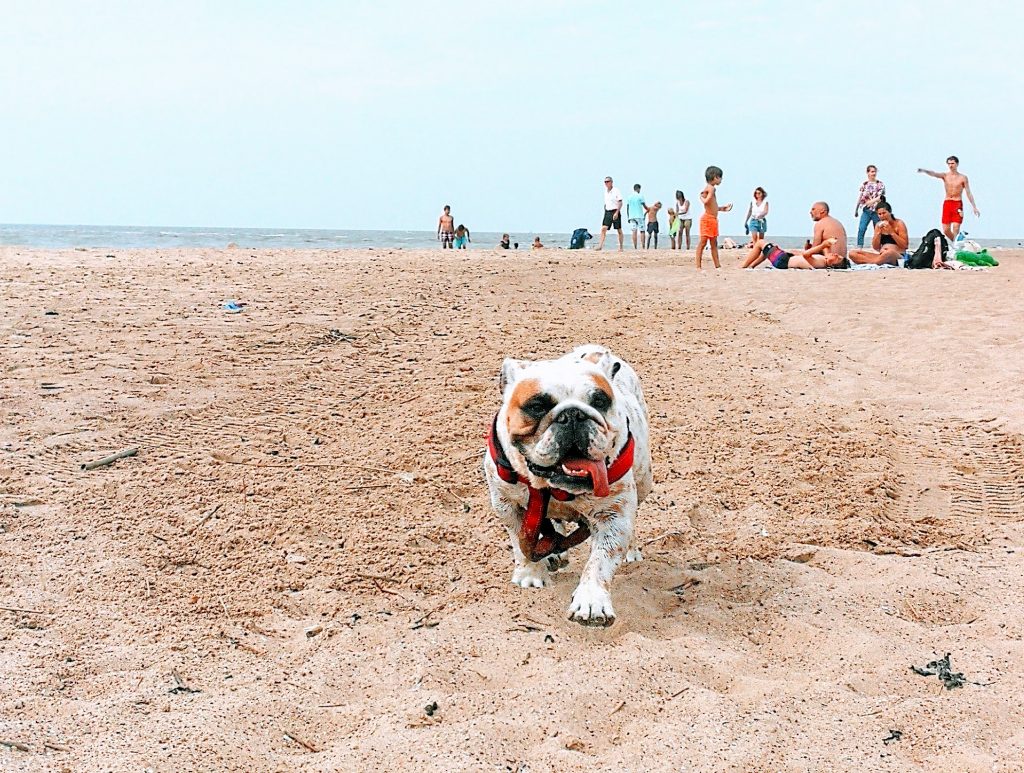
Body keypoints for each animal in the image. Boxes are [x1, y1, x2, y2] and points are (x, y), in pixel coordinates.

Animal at [483, 345, 653, 626]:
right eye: (537, 406)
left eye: (600, 401)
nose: (573, 414)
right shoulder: (506, 505)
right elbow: (520, 541)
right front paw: (531, 574)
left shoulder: (614, 516)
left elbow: (599, 561)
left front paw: (592, 600)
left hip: (643, 480)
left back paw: (630, 550)